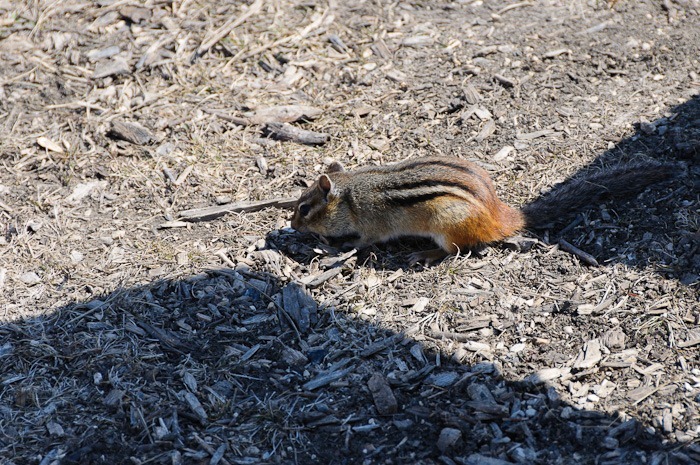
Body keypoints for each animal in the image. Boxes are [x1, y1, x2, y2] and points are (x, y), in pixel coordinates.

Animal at [290, 156, 676, 264]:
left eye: (305, 209)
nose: (292, 226)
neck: (352, 195)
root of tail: (497, 216)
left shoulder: (372, 226)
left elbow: (362, 242)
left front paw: (337, 247)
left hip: (446, 224)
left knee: (461, 249)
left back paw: (426, 254)